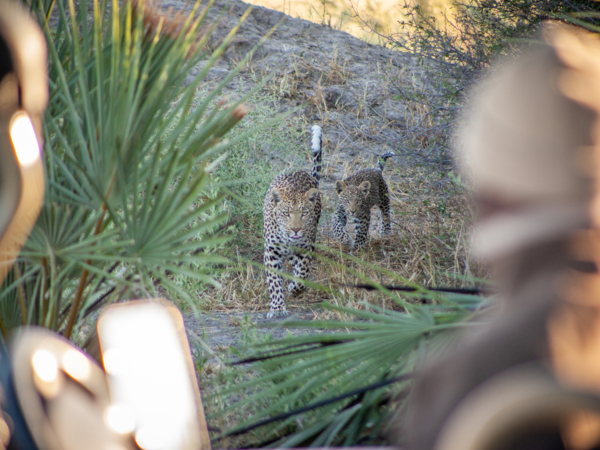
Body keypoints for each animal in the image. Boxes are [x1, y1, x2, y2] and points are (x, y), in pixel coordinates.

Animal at [262, 125, 324, 318]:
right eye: (286, 213)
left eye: (304, 213)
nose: (296, 230)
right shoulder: (271, 252)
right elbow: (274, 281)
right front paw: (277, 308)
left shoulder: (305, 248)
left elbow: (302, 274)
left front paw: (294, 289)